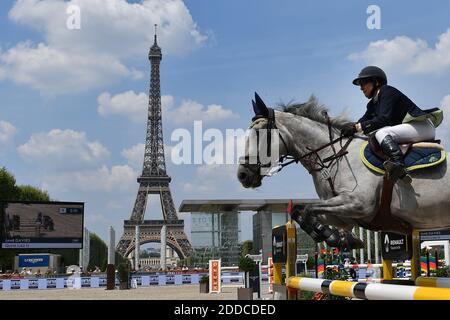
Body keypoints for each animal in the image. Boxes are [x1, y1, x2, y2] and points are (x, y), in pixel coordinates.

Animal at [237, 92, 448, 250]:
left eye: (259, 133)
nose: (242, 175)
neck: (332, 155)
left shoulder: (359, 203)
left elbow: (308, 208)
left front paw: (330, 236)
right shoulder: (345, 215)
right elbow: (300, 210)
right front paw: (337, 237)